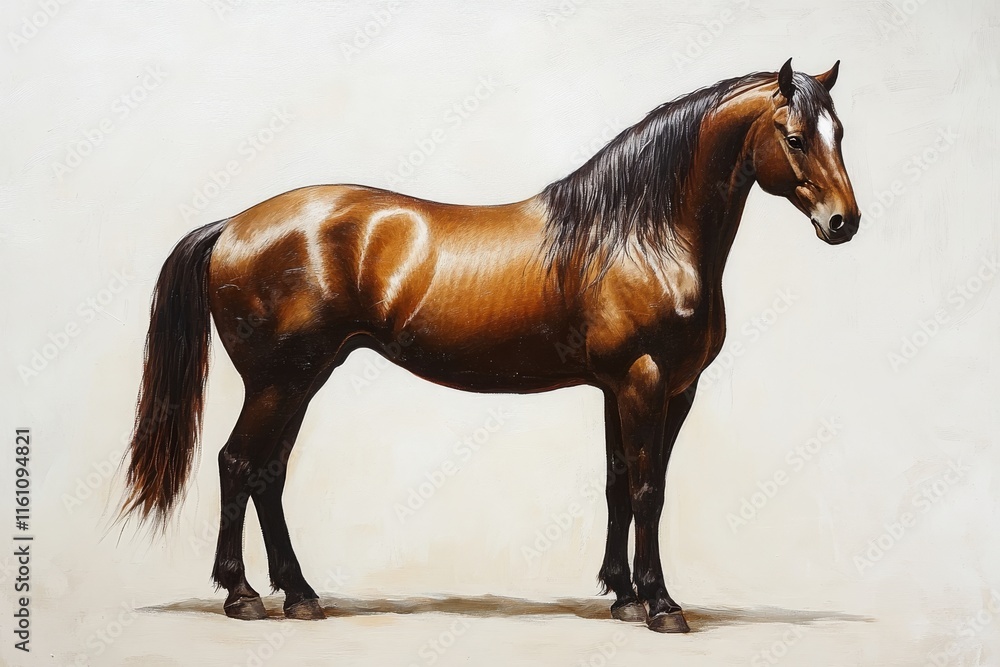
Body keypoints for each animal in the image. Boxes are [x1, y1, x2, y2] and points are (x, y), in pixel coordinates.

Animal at [121, 58, 859, 633]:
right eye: (795, 137)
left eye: (841, 133)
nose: (843, 222)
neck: (640, 234)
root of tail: (232, 225)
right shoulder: (647, 381)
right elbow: (651, 488)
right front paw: (661, 604)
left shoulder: (638, 387)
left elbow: (619, 483)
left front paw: (621, 594)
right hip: (279, 380)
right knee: (237, 463)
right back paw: (243, 595)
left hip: (304, 378)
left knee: (267, 473)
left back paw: (299, 595)